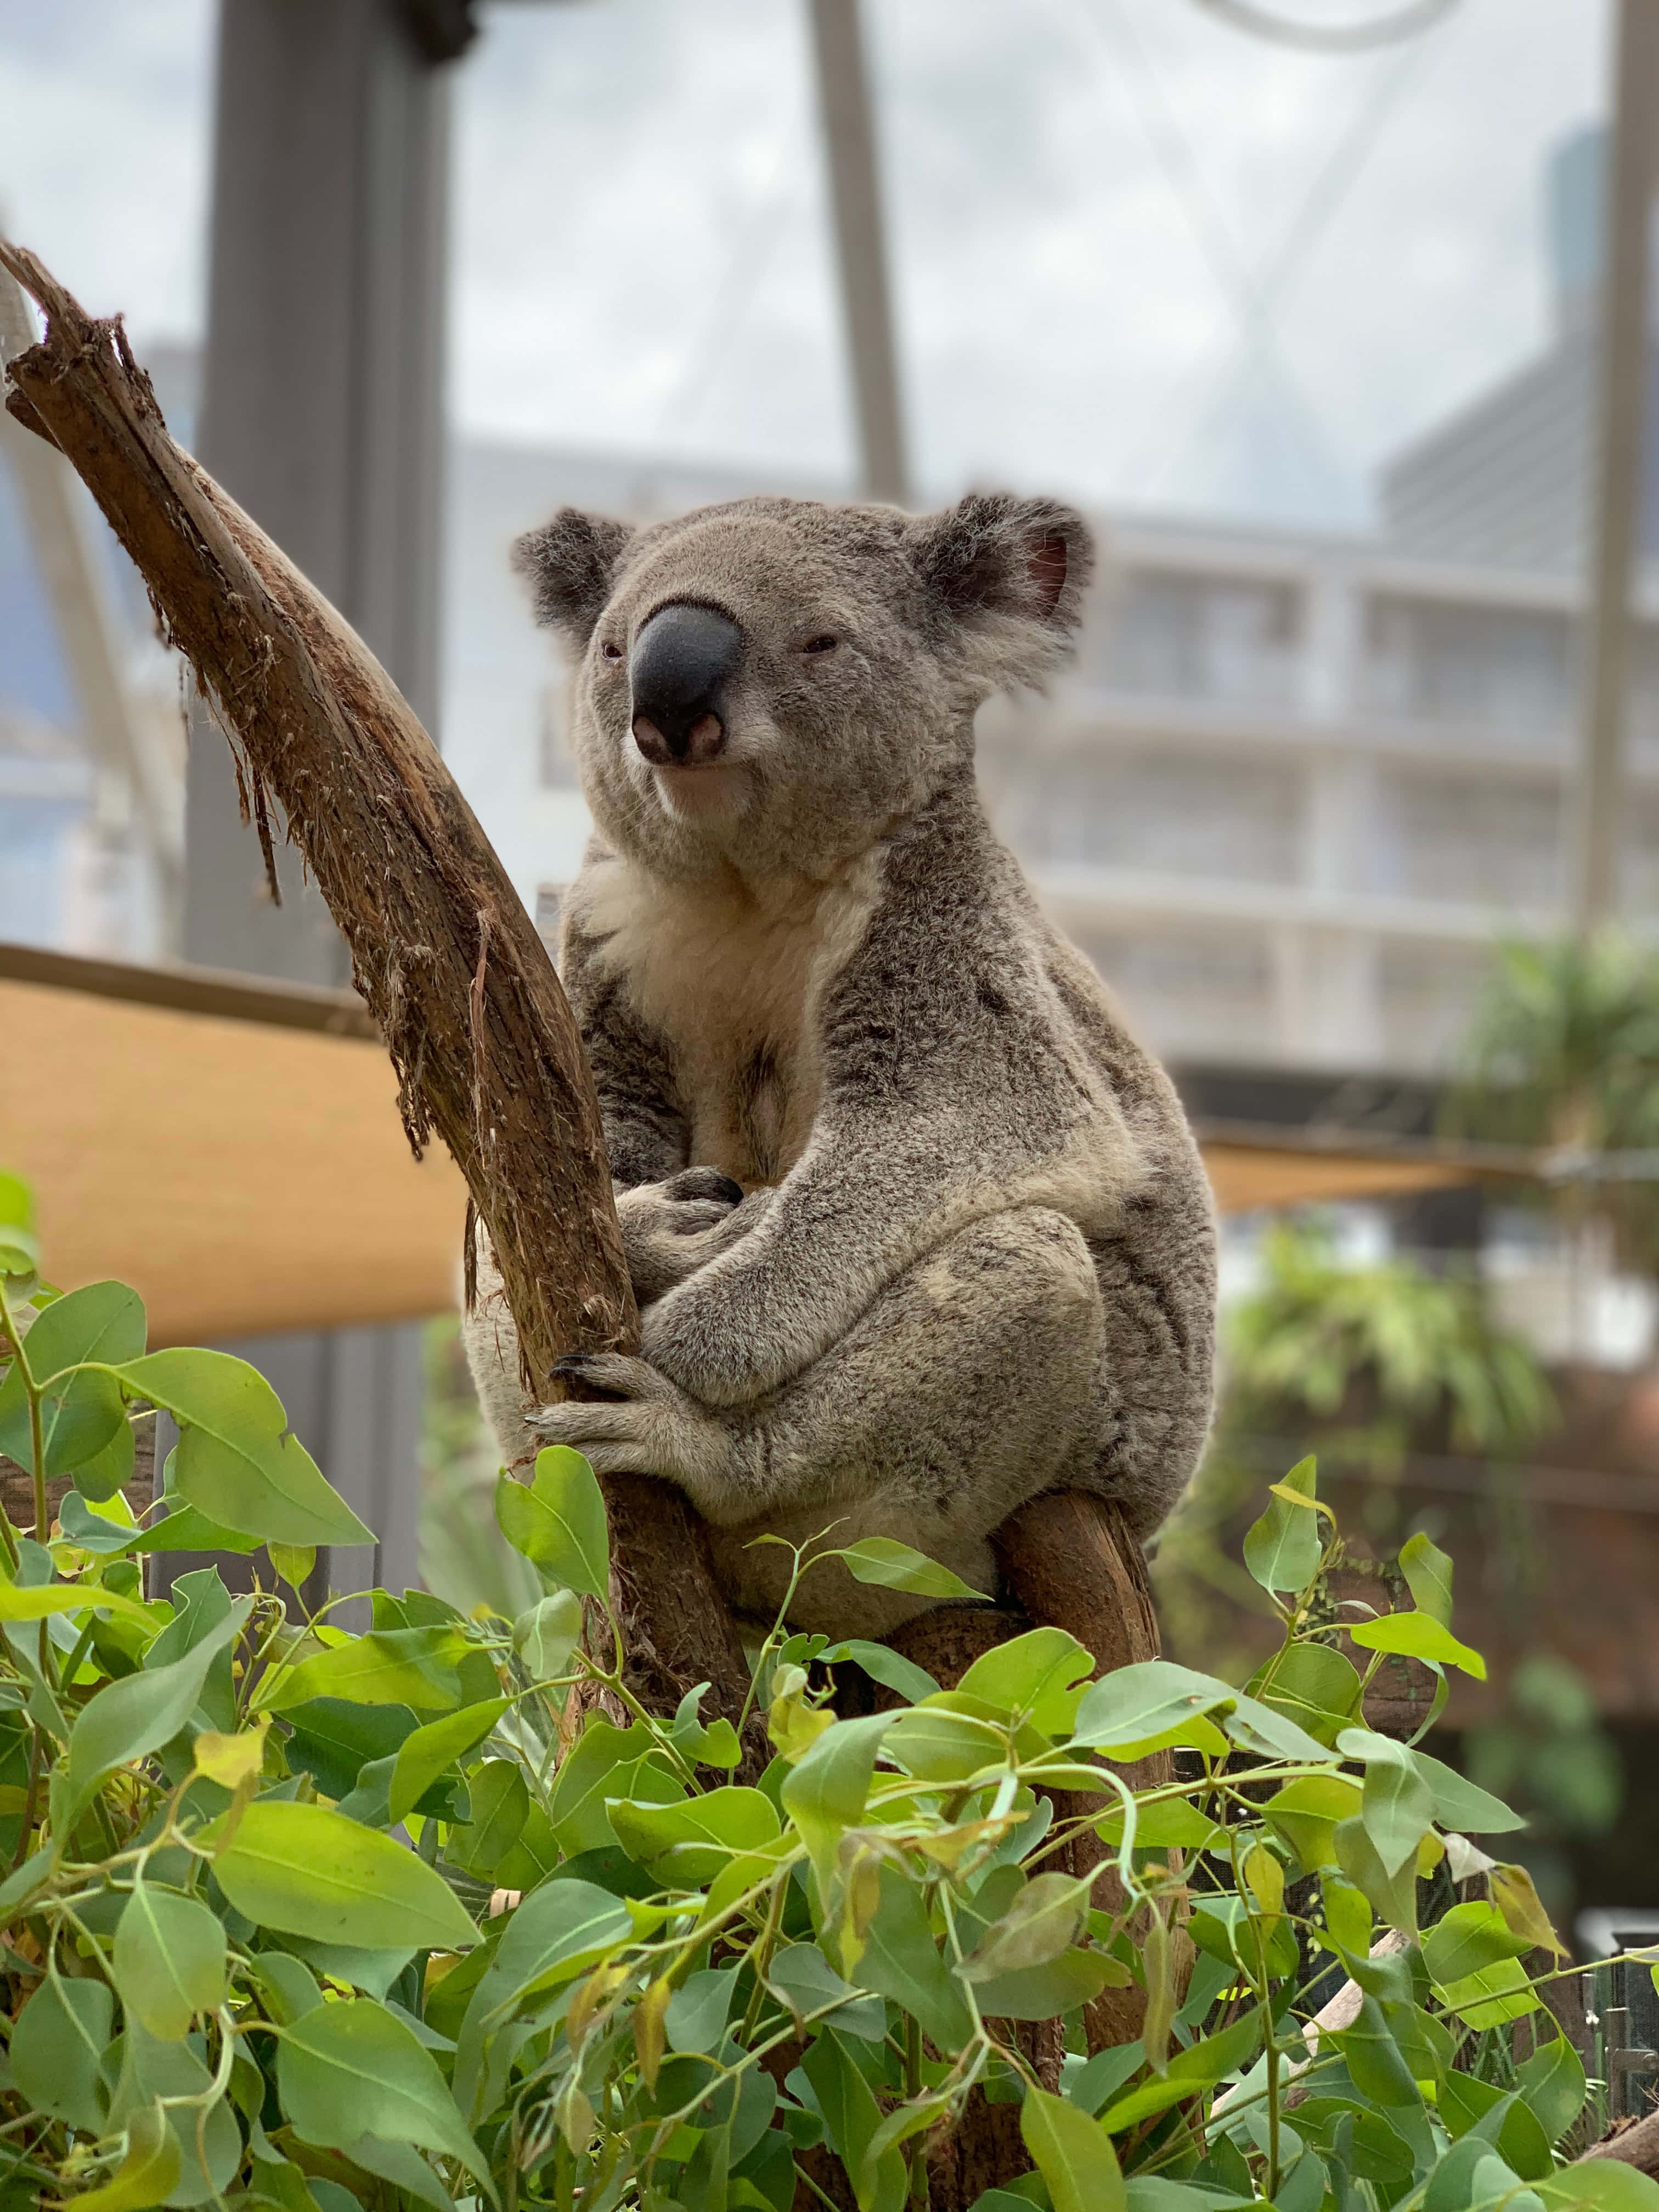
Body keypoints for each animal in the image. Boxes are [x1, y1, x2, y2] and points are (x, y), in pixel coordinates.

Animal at [463, 490, 1217, 1638]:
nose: (667, 707)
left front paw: (695, 1323)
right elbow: (565, 1158)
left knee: (1025, 1268)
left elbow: (943, 1126)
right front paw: (666, 1230)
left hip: (1053, 1447)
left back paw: (686, 1434)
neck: (747, 889)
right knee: (484, 1272)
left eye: (818, 641)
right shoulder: (607, 939)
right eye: (611, 648)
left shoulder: (941, 942)